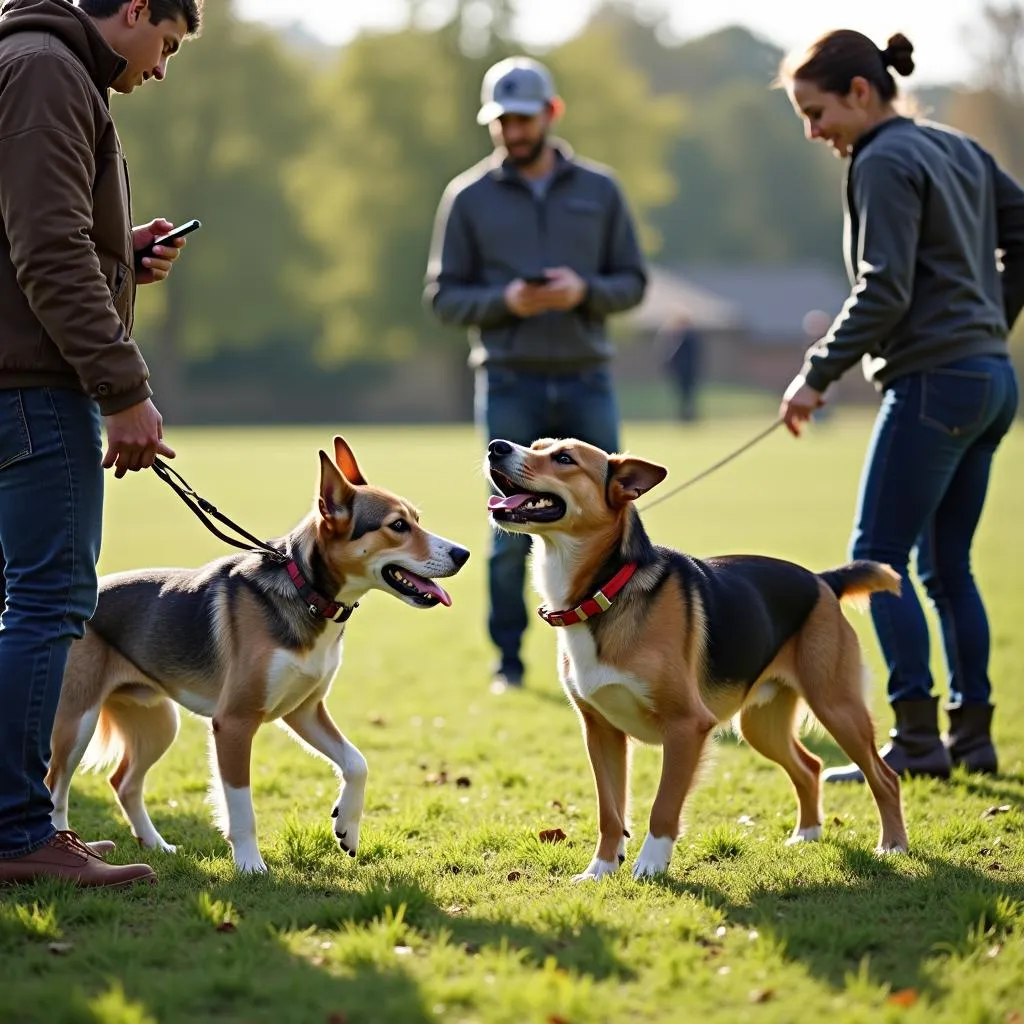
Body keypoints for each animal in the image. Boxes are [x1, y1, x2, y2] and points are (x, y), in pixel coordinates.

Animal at [44, 436, 468, 876]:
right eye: (398, 526)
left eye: (416, 518)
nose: (463, 554)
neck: (307, 592)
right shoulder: (233, 723)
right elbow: (242, 807)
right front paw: (250, 865)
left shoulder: (304, 710)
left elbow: (356, 762)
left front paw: (346, 827)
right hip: (76, 722)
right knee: (55, 789)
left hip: (158, 723)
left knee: (123, 782)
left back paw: (156, 845)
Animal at [483, 434, 909, 880]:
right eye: (536, 446)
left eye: (564, 458)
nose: (496, 446)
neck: (606, 590)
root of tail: (823, 581)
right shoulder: (600, 731)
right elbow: (610, 812)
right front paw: (600, 869)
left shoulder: (686, 727)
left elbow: (663, 806)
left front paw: (650, 865)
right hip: (762, 725)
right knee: (809, 768)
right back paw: (806, 834)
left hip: (837, 707)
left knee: (885, 777)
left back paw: (892, 845)